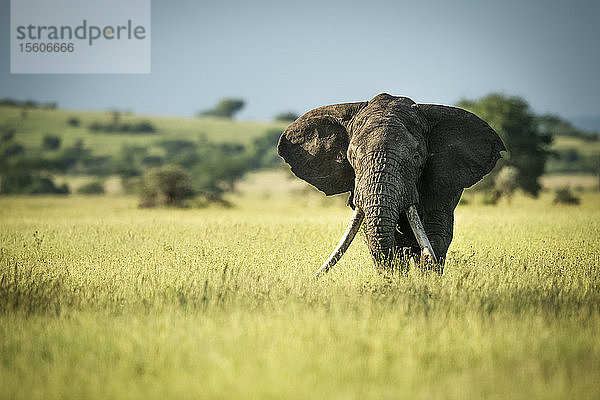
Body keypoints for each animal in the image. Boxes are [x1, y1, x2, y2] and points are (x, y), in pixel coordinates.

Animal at [278, 93, 504, 276]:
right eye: (352, 157)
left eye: (417, 157)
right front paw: (394, 280)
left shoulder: (443, 185)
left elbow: (435, 235)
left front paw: (428, 279)